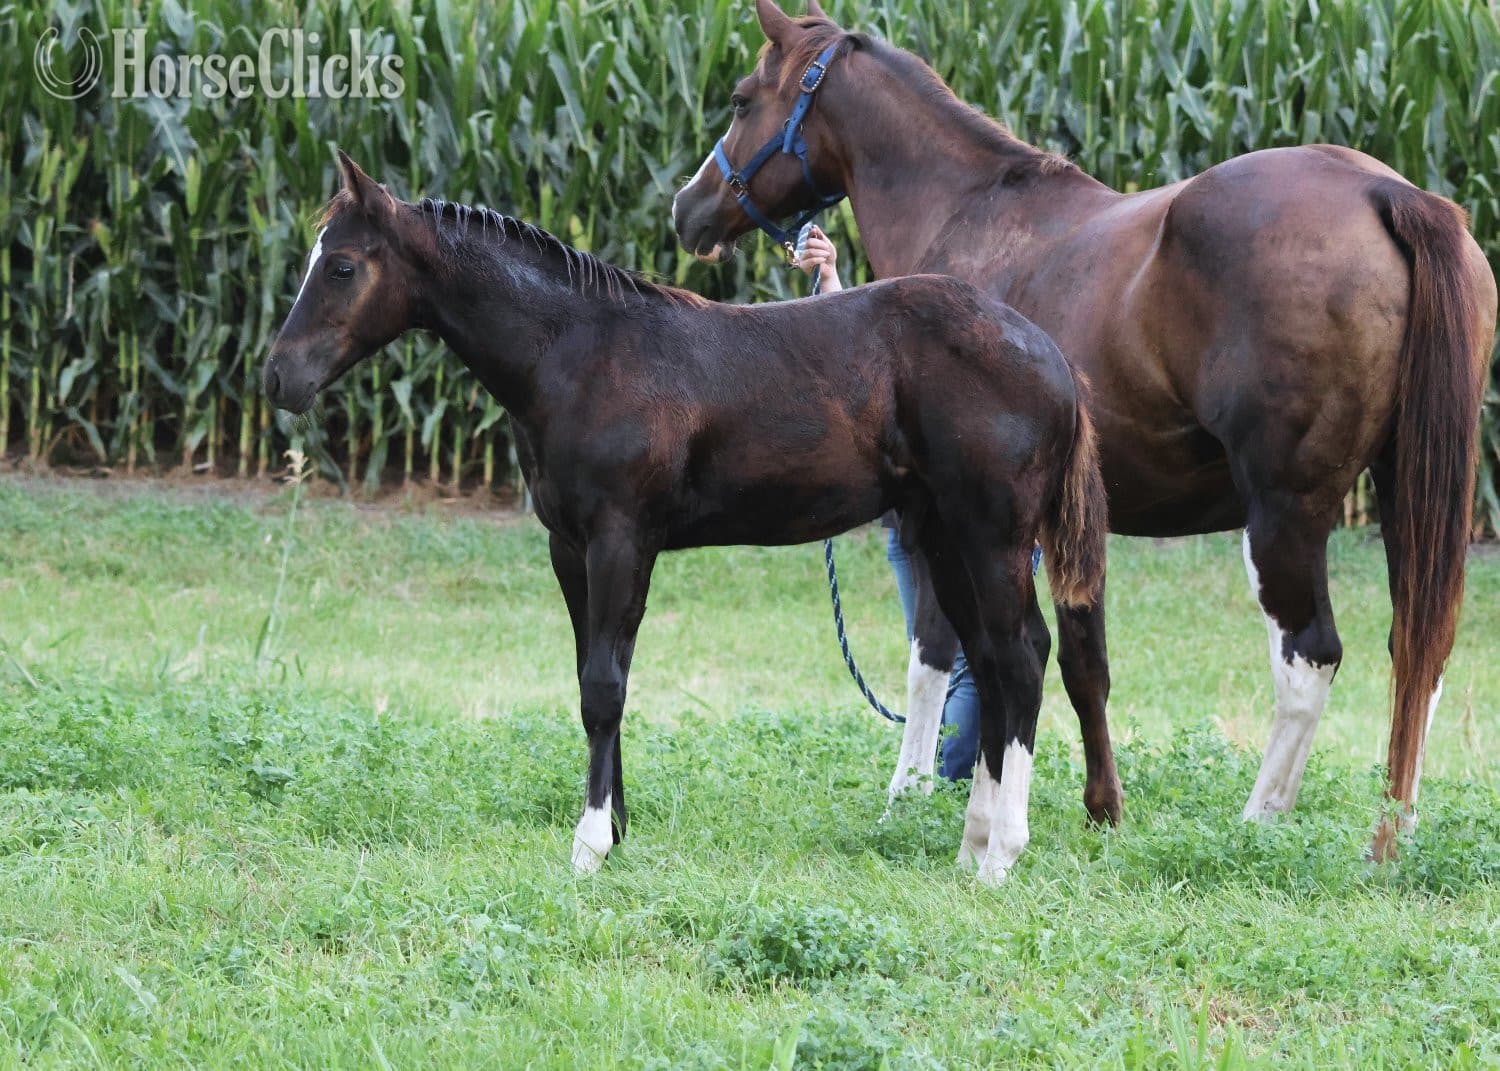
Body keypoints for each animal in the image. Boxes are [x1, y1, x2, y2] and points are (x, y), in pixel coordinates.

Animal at [262, 152, 1108, 883]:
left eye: (342, 266)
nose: (279, 377)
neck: (579, 354)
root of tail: (1053, 357)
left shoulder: (621, 539)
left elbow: (603, 685)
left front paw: (590, 845)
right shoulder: (569, 548)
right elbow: (593, 675)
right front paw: (617, 824)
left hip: (992, 535)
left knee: (1020, 658)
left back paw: (1001, 854)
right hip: (944, 534)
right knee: (994, 662)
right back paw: (971, 846)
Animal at [672, 0, 1497, 860]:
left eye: (740, 99)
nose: (687, 210)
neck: (973, 213)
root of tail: (1383, 192)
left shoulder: (951, 517)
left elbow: (936, 652)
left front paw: (912, 792)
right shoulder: (1070, 524)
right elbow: (1083, 662)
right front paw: (1102, 807)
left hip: (1287, 512)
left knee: (1312, 655)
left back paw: (1258, 820)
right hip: (1410, 493)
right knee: (1421, 647)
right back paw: (1392, 831)